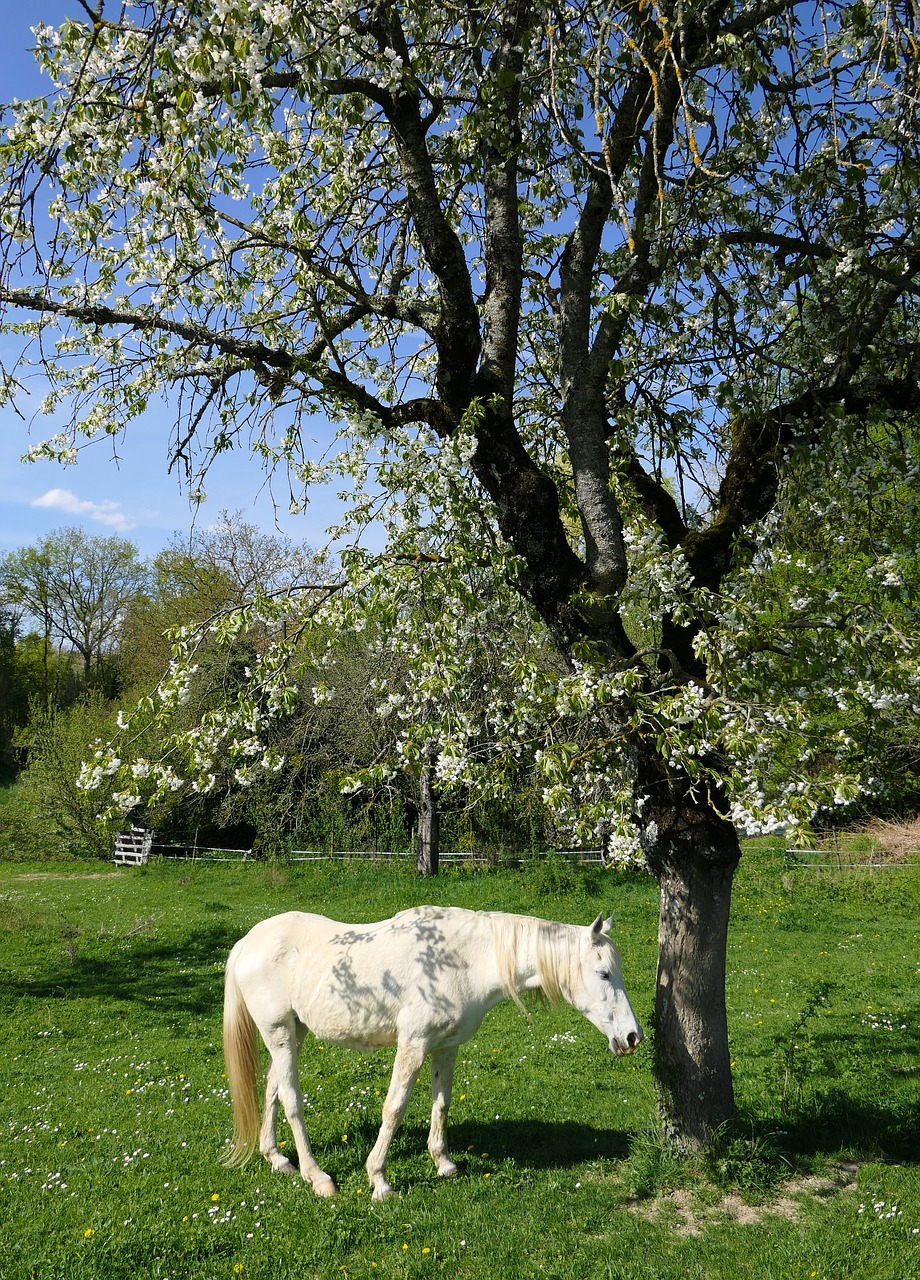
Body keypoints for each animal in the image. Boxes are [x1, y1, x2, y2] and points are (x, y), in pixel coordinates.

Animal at [223, 901, 644, 1198]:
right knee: (291, 1099)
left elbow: (442, 1102)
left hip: (293, 1033)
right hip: (279, 1033)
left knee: (272, 1086)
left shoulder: (446, 1047)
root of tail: (246, 943)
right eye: (603, 973)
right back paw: (318, 1177)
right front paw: (379, 1180)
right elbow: (394, 1108)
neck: (464, 960)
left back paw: (277, 1159)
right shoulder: (413, 1044)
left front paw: (443, 1163)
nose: (632, 1037)